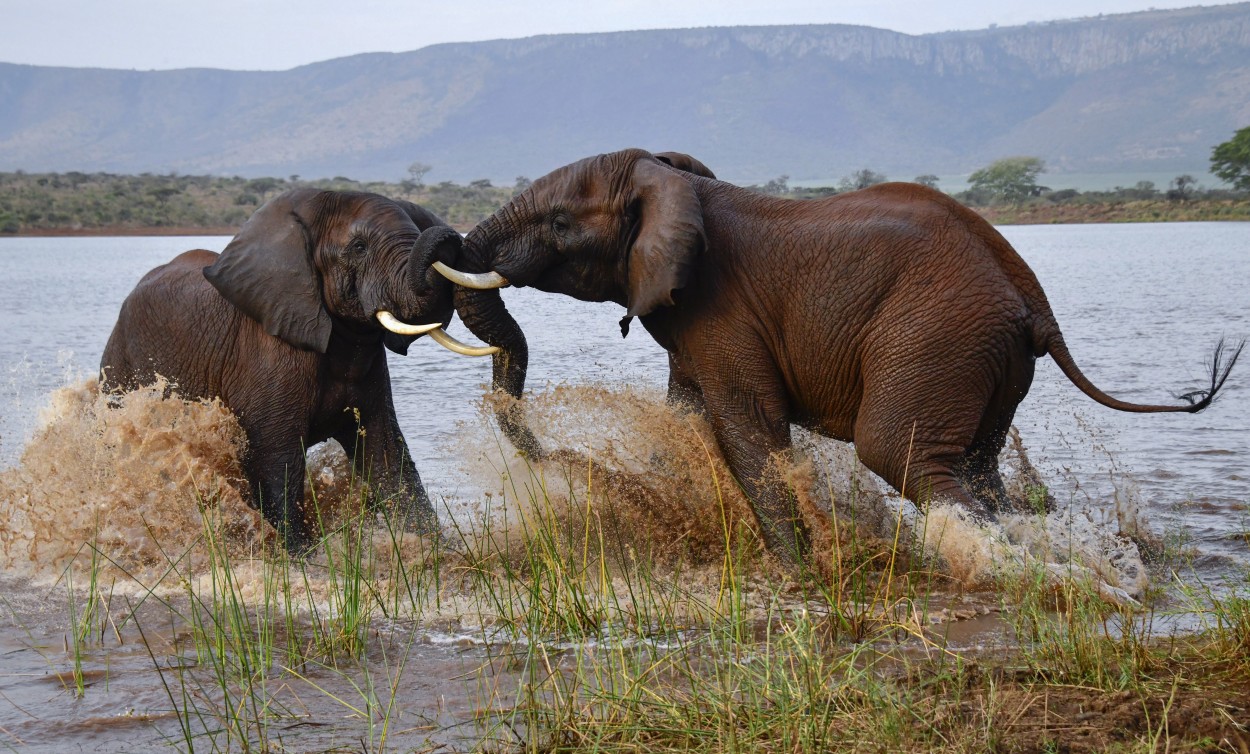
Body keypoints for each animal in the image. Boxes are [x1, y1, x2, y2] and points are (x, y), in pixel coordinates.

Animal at [102, 188, 492, 555]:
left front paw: (437, 547)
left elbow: (386, 454)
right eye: (359, 247)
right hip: (119, 367)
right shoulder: (268, 354)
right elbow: (276, 457)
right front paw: (303, 557)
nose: (452, 238)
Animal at [430, 147, 1240, 562]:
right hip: (986, 358)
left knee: (901, 454)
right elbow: (688, 417)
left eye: (561, 223)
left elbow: (748, 431)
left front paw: (796, 571)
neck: (676, 180)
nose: (562, 462)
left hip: (936, 336)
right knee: (979, 465)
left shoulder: (722, 311)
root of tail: (1031, 300)